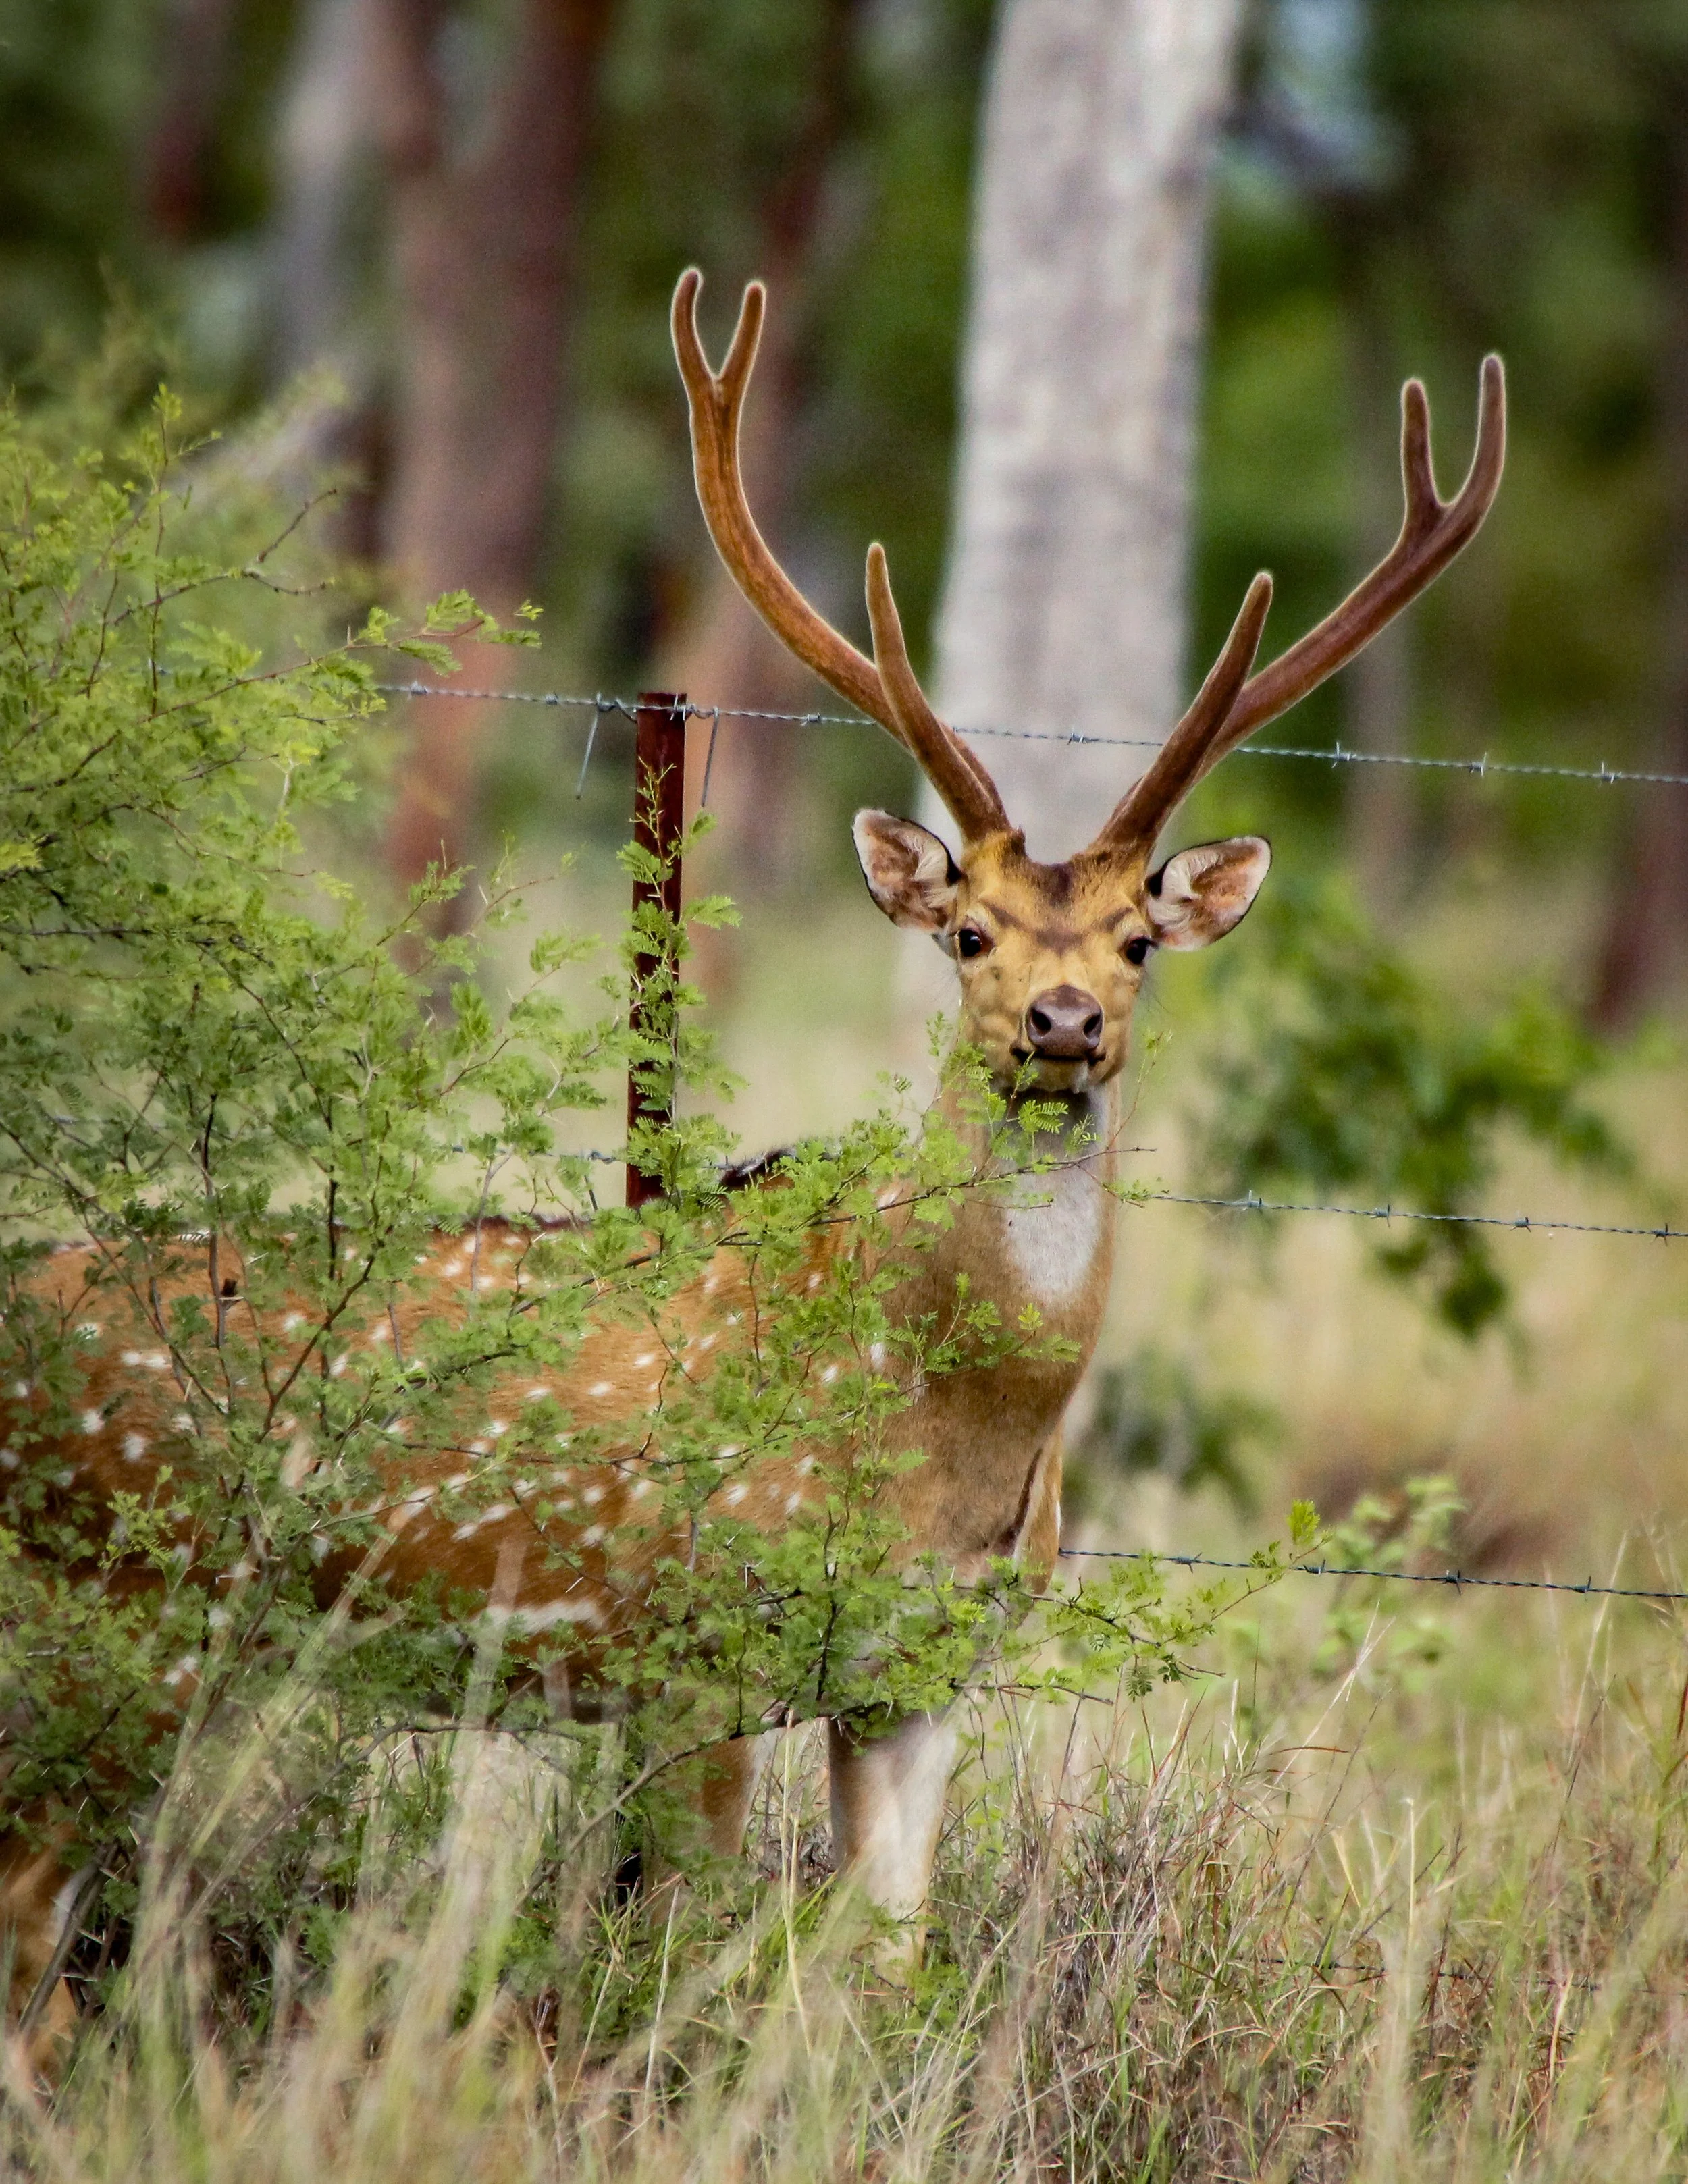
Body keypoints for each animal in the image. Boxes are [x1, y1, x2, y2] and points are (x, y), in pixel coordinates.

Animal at [0, 269, 1504, 2057]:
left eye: (1139, 941)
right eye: (970, 932)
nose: (1062, 1021)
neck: (955, 1426)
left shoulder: (921, 1678)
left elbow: (890, 1970)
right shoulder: (694, 1637)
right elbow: (691, 1948)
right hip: (116, 1607)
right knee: (25, 1921)